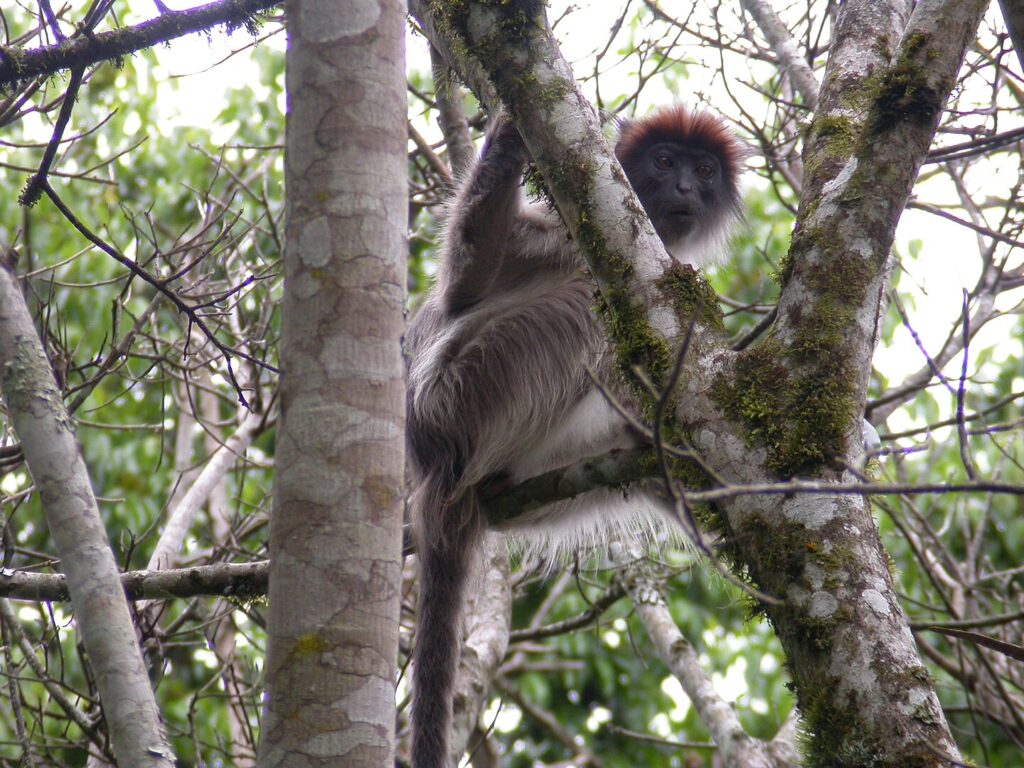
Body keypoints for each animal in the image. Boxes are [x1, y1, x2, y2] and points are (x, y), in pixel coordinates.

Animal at [405, 105, 745, 765]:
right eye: (664, 161)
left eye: (704, 170)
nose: (685, 188)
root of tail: (431, 464)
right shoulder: (564, 234)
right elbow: (463, 286)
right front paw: (508, 135)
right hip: (475, 389)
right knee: (586, 304)